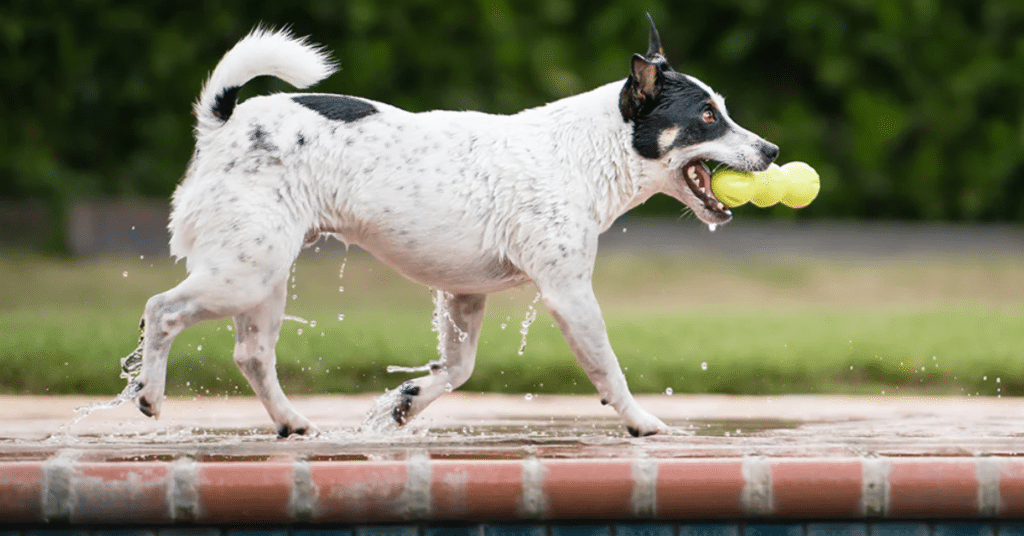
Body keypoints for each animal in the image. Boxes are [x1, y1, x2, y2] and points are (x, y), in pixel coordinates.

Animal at [119, 16, 774, 438]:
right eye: (707, 117)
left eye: (723, 110)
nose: (770, 151)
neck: (583, 154)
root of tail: (223, 123)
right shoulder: (569, 293)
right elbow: (607, 368)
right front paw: (640, 422)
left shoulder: (463, 294)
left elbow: (456, 370)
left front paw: (406, 402)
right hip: (243, 273)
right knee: (160, 310)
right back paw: (149, 394)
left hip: (262, 274)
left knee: (252, 355)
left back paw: (291, 422)